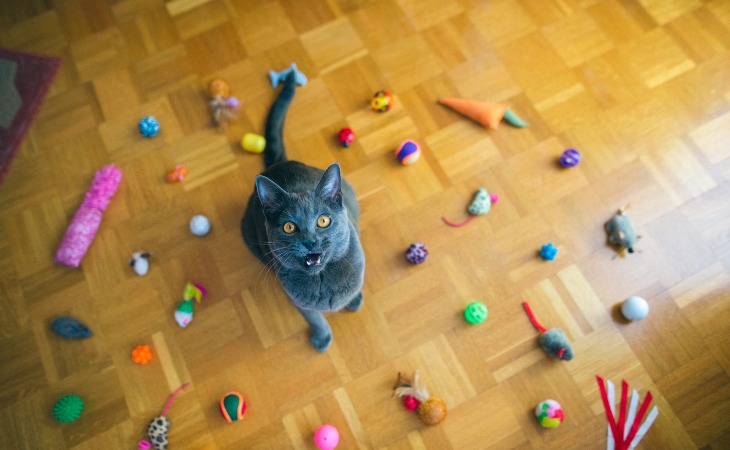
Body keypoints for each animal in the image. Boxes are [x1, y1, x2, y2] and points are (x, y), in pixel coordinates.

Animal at [239, 73, 364, 352]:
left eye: (323, 221)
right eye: (289, 227)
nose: (309, 241)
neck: (322, 278)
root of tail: (278, 163)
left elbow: (353, 289)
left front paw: (354, 299)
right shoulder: (297, 299)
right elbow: (314, 316)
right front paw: (322, 337)